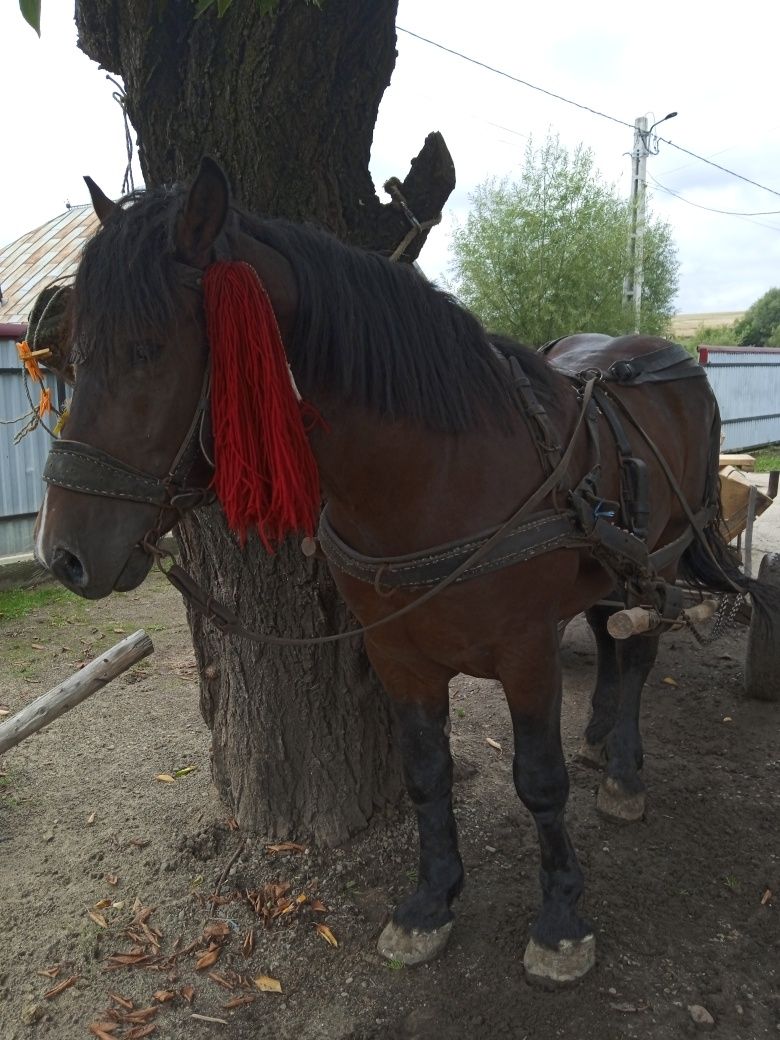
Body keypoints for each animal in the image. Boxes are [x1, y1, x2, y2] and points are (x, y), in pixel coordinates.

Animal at [32, 160, 777, 981]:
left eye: (148, 349)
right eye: (72, 355)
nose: (61, 554)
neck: (435, 475)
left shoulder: (527, 653)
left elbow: (539, 781)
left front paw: (560, 920)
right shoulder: (396, 653)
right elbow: (426, 772)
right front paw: (431, 902)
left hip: (665, 553)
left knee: (638, 651)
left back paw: (623, 771)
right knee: (611, 634)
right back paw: (599, 733)